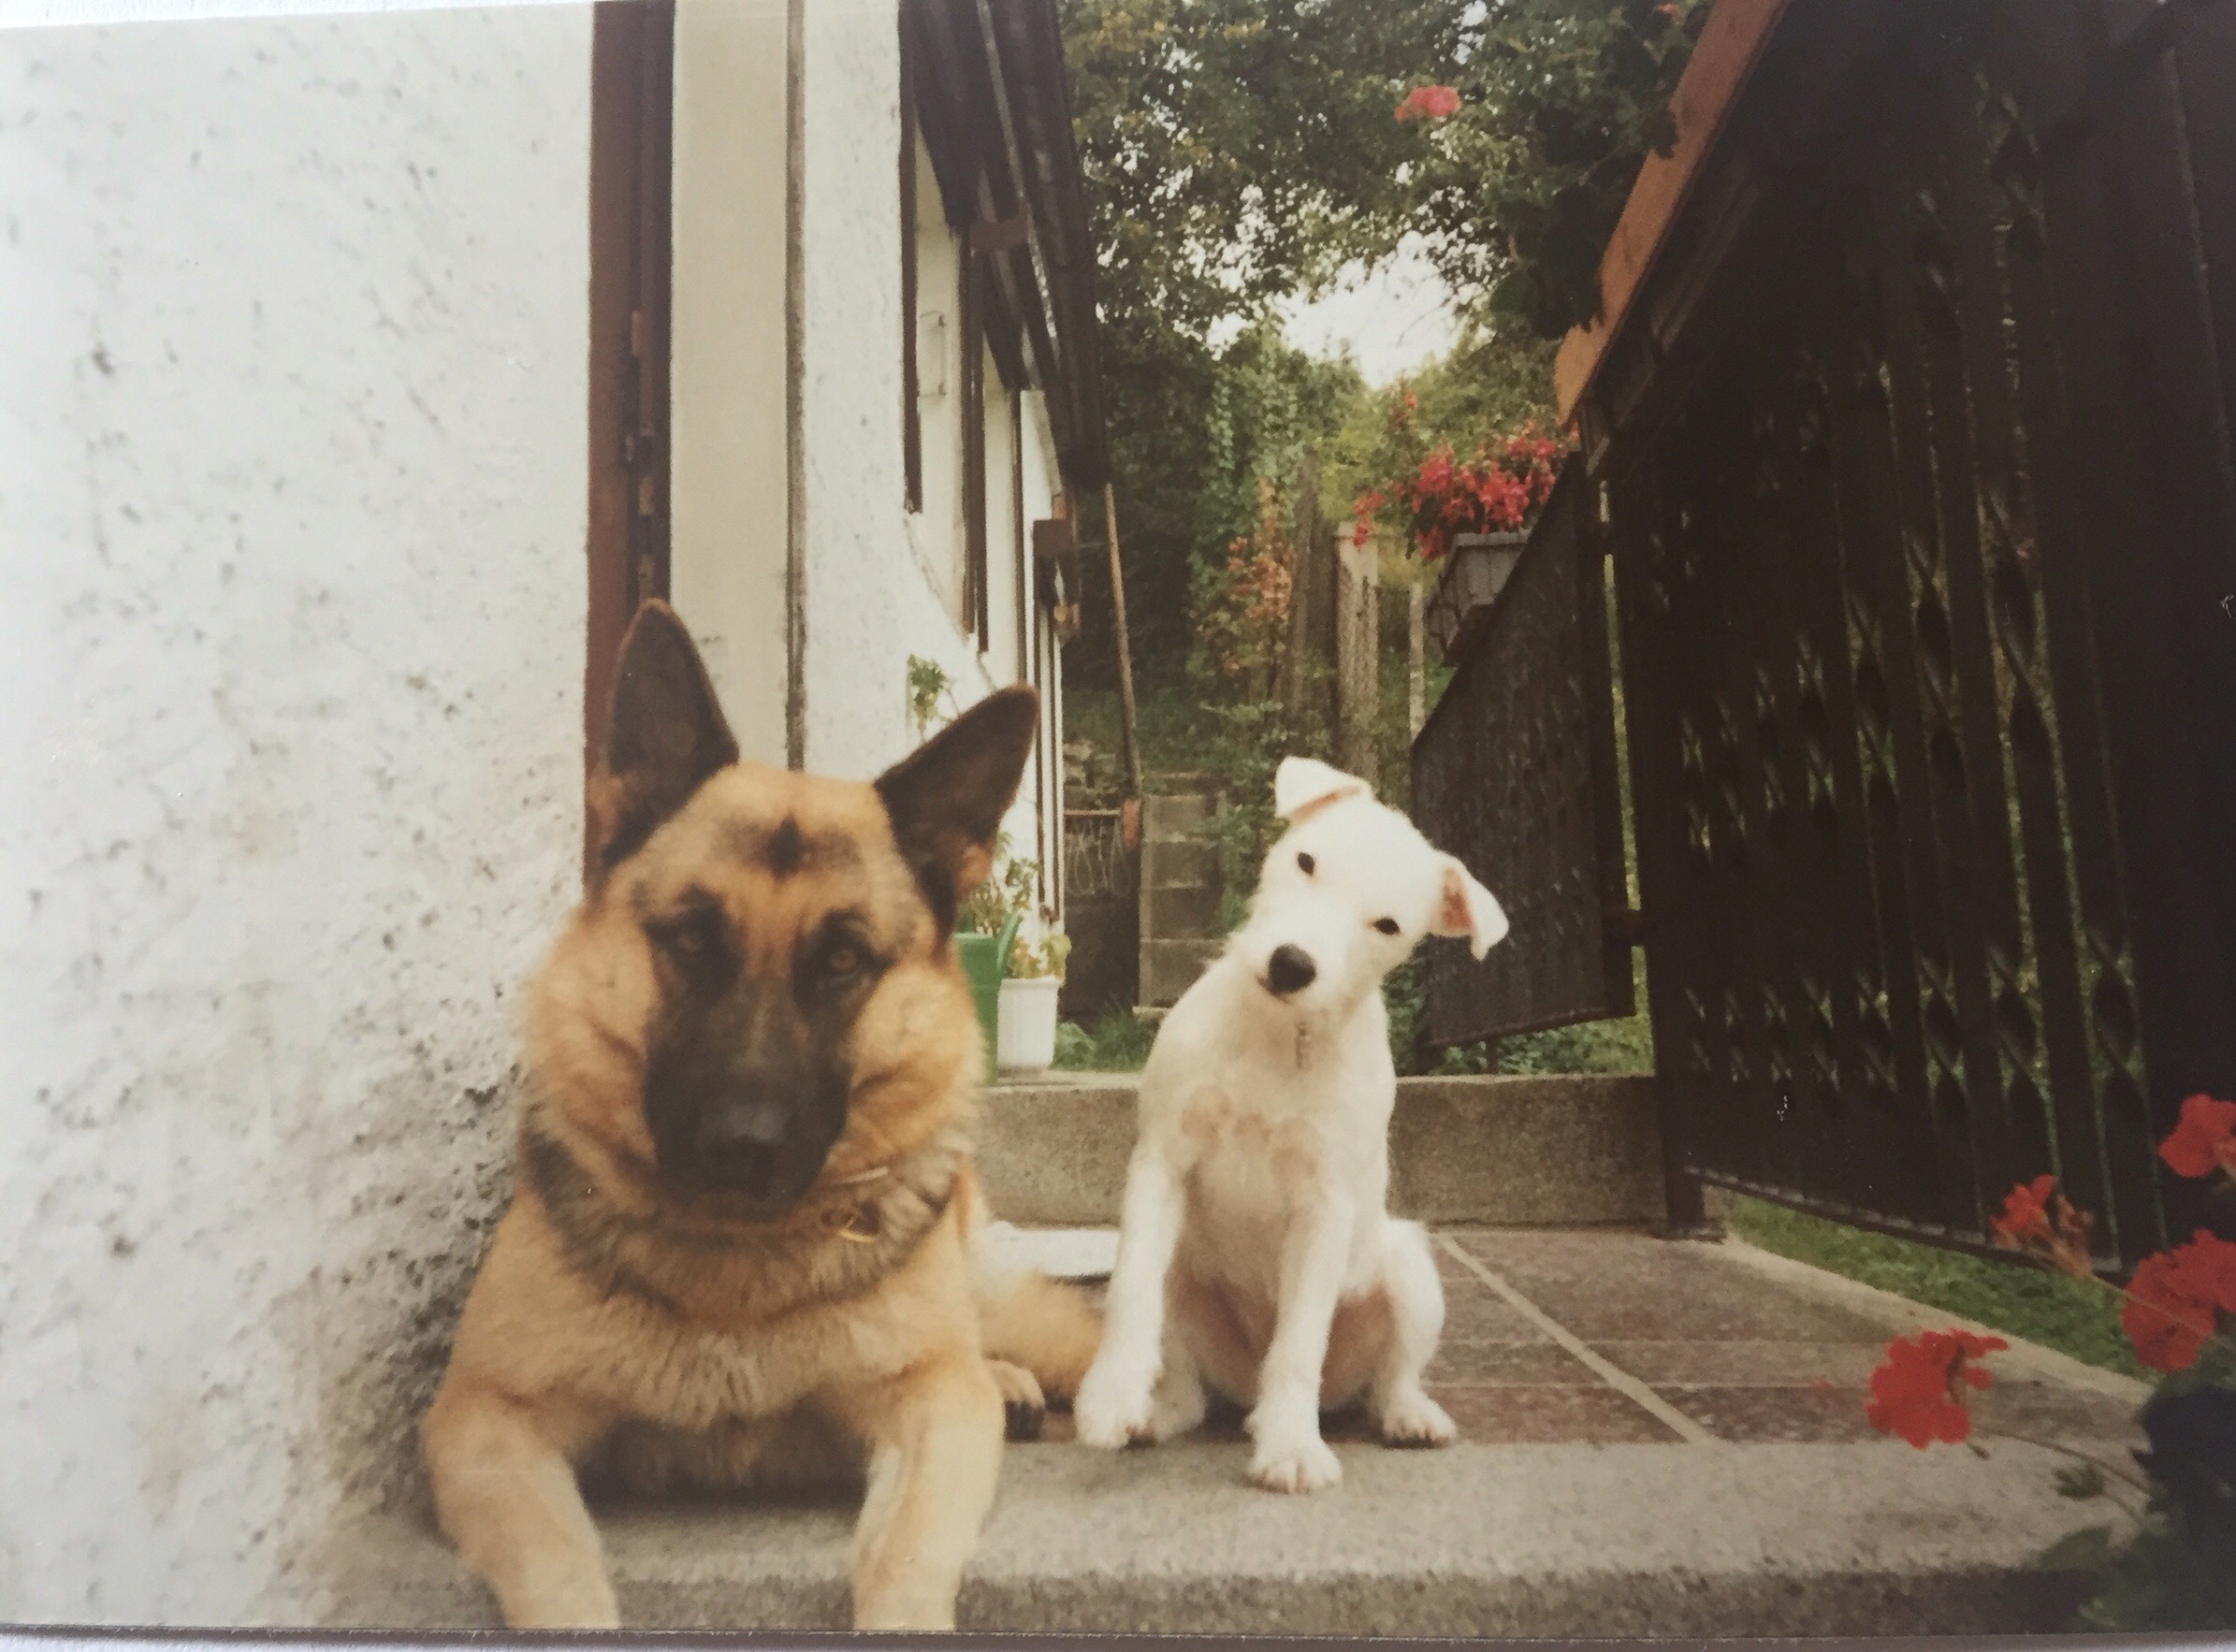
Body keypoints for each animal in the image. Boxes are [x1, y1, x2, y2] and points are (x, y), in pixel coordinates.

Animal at [422, 602, 1100, 1630]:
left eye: (843, 961)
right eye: (693, 939)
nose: (744, 1146)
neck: (734, 1269)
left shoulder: (933, 1417)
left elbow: (907, 1555)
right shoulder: (485, 1419)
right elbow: (558, 1570)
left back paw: (1018, 1377)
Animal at [1072, 756, 1506, 1493]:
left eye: (1387, 925)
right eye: (1306, 861)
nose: (1291, 965)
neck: (1278, 1036)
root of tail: (1243, 1387)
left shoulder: (1323, 1207)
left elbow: (1300, 1341)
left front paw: (1292, 1448)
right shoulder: (1162, 1160)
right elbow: (1133, 1290)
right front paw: (1111, 1397)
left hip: (1410, 1275)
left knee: (1389, 1380)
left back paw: (1406, 1416)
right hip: (1185, 1287)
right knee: (1186, 1385)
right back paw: (1156, 1413)